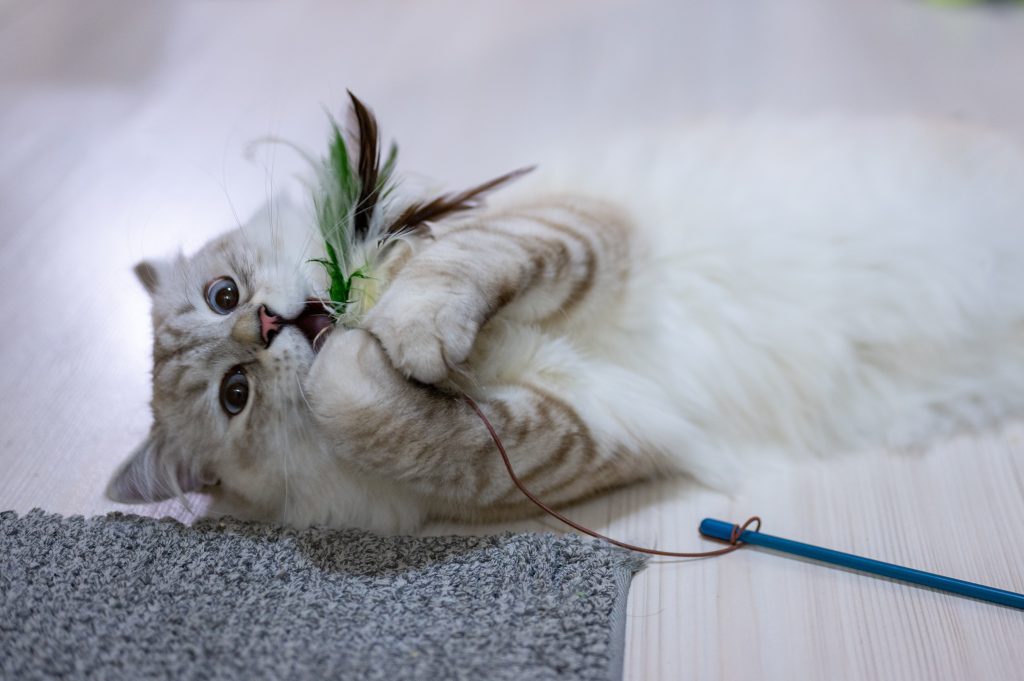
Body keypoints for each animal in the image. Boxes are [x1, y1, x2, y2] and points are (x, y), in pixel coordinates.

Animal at [108, 103, 1024, 532]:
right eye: (235, 395)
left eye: (222, 296)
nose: (266, 328)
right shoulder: (589, 431)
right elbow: (403, 418)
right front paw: (368, 361)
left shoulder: (575, 230)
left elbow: (457, 272)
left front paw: (396, 326)